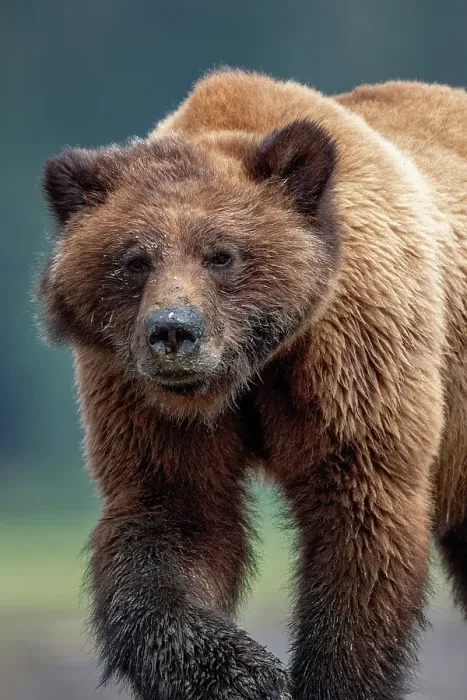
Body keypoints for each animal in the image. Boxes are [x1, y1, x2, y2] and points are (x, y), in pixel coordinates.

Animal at [37, 68, 467, 700]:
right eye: (134, 260)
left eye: (221, 255)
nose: (173, 330)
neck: (252, 367)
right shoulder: (143, 398)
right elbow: (174, 525)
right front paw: (247, 675)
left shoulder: (354, 354)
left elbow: (358, 520)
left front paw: (329, 678)